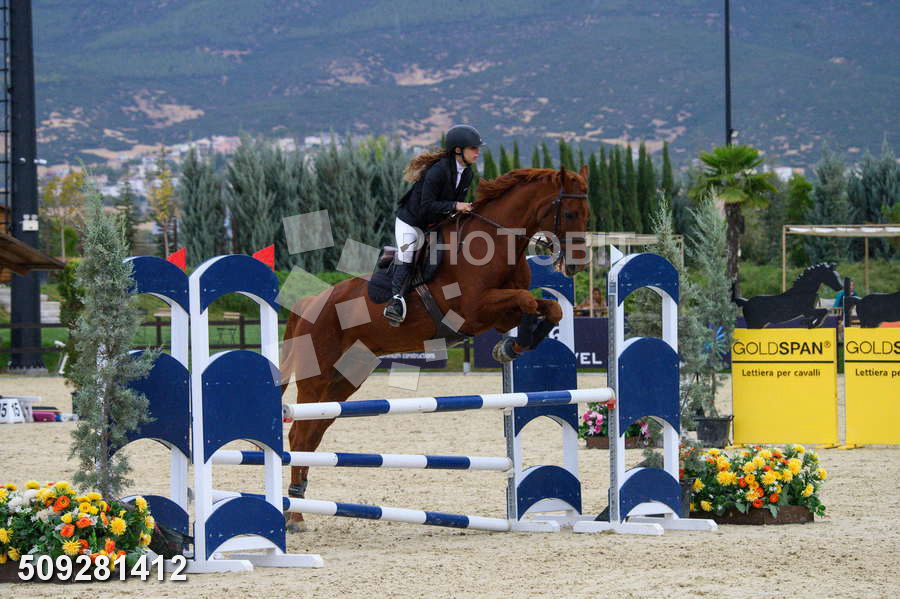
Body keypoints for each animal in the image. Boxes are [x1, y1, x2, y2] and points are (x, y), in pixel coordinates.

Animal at [279, 166, 590, 531]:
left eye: (587, 213)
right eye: (569, 214)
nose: (577, 266)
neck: (497, 245)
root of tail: (310, 302)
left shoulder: (497, 314)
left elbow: (549, 308)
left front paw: (514, 345)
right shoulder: (475, 310)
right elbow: (526, 300)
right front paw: (514, 343)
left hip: (345, 380)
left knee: (313, 434)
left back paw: (298, 503)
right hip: (317, 379)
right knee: (300, 435)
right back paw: (294, 515)